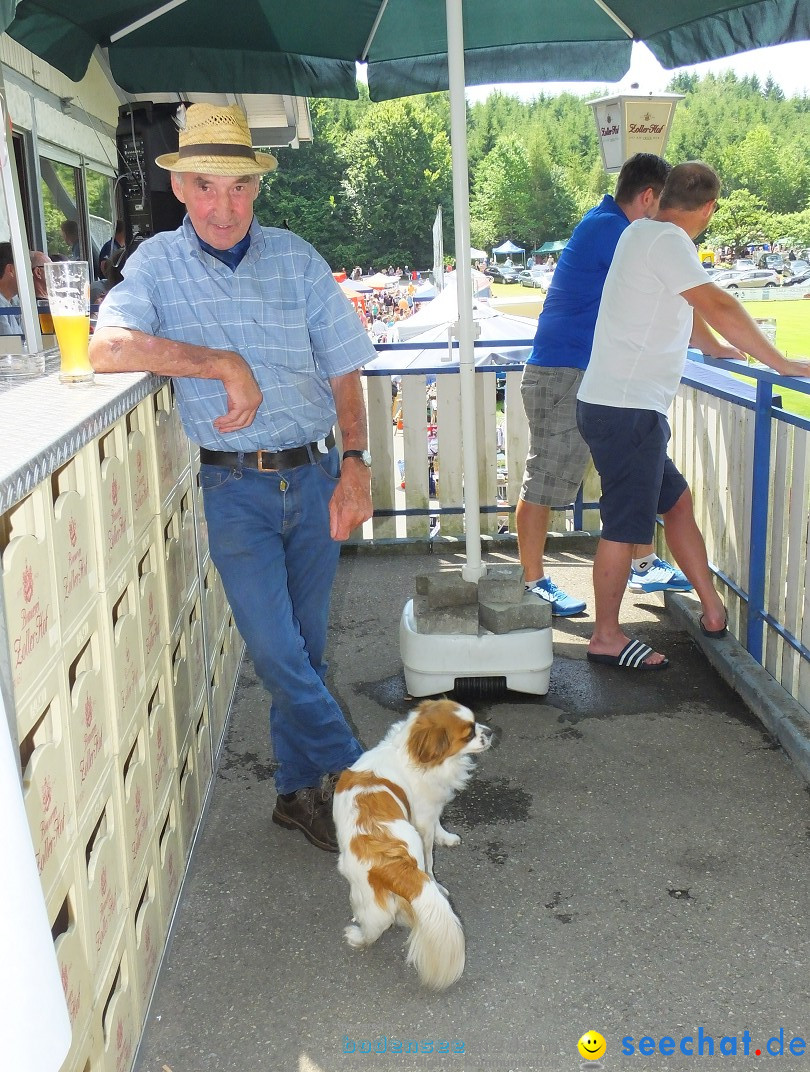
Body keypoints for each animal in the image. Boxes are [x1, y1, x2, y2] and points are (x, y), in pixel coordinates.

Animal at [330, 698, 492, 990]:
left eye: (476, 723)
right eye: (469, 733)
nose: (491, 732)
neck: (407, 754)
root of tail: (392, 862)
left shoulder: (430, 811)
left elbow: (439, 827)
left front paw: (445, 837)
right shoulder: (423, 817)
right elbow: (430, 858)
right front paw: (438, 879)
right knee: (377, 925)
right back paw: (358, 937)